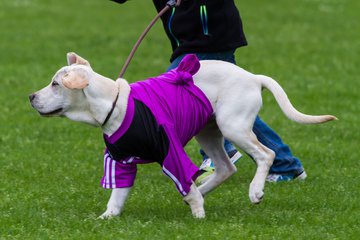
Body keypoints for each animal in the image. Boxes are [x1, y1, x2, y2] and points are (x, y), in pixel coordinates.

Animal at [29, 52, 336, 218]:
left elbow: (184, 184)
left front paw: (198, 215)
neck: (113, 102)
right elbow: (117, 194)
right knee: (226, 168)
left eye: (56, 84)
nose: (31, 97)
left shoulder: (171, 151)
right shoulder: (119, 161)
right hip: (208, 132)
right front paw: (107, 217)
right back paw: (205, 187)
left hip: (233, 125)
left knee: (265, 154)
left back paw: (255, 191)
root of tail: (253, 77)